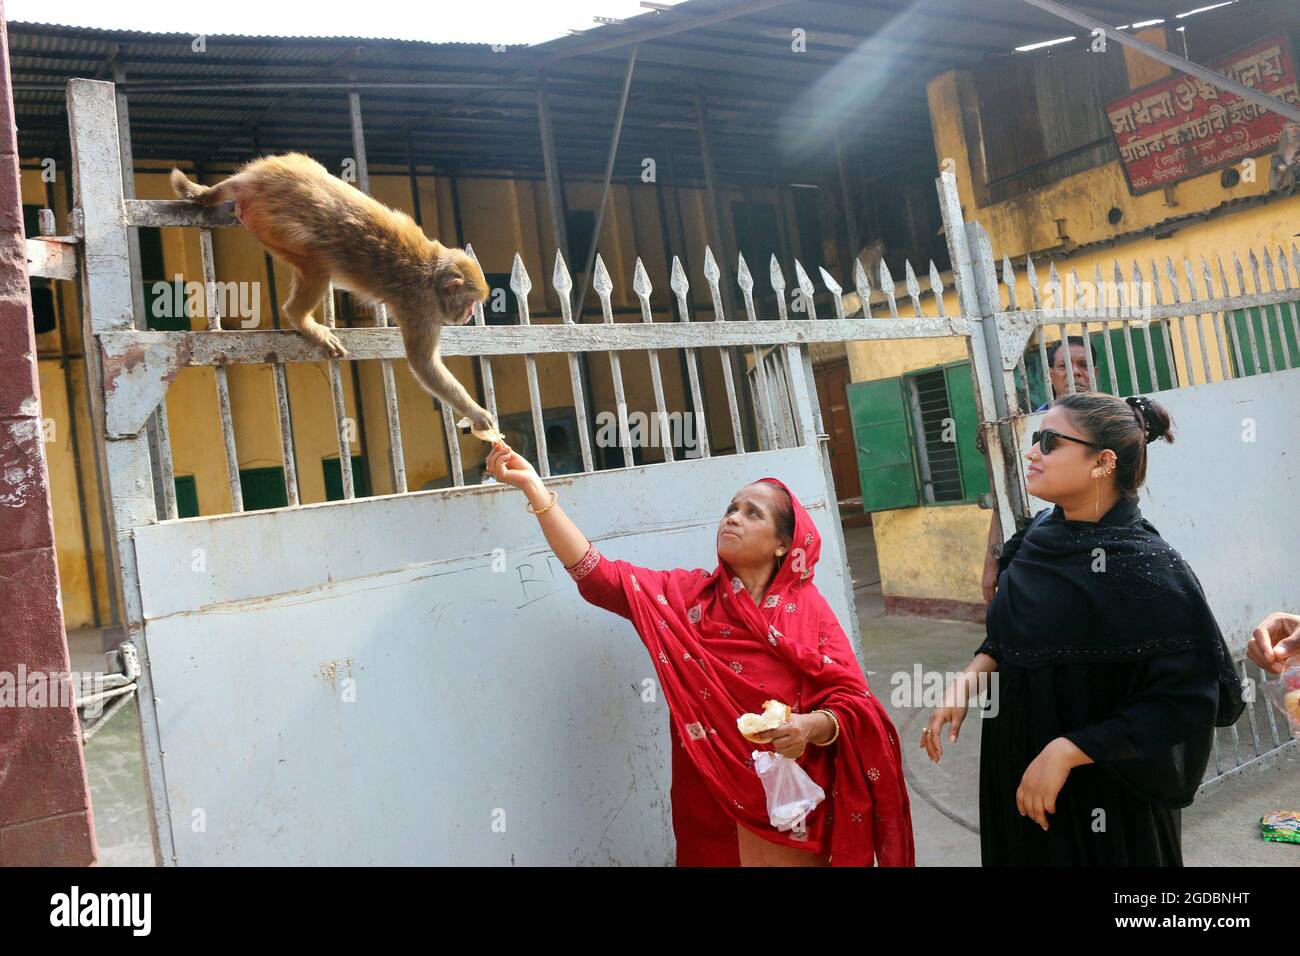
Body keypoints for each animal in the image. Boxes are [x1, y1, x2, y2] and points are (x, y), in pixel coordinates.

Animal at [170, 154, 493, 437]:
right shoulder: (422, 307)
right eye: (469, 302)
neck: (432, 272)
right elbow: (424, 365)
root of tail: (253, 179)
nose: (468, 315)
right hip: (275, 223)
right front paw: (476, 411)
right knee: (317, 262)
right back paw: (301, 319)